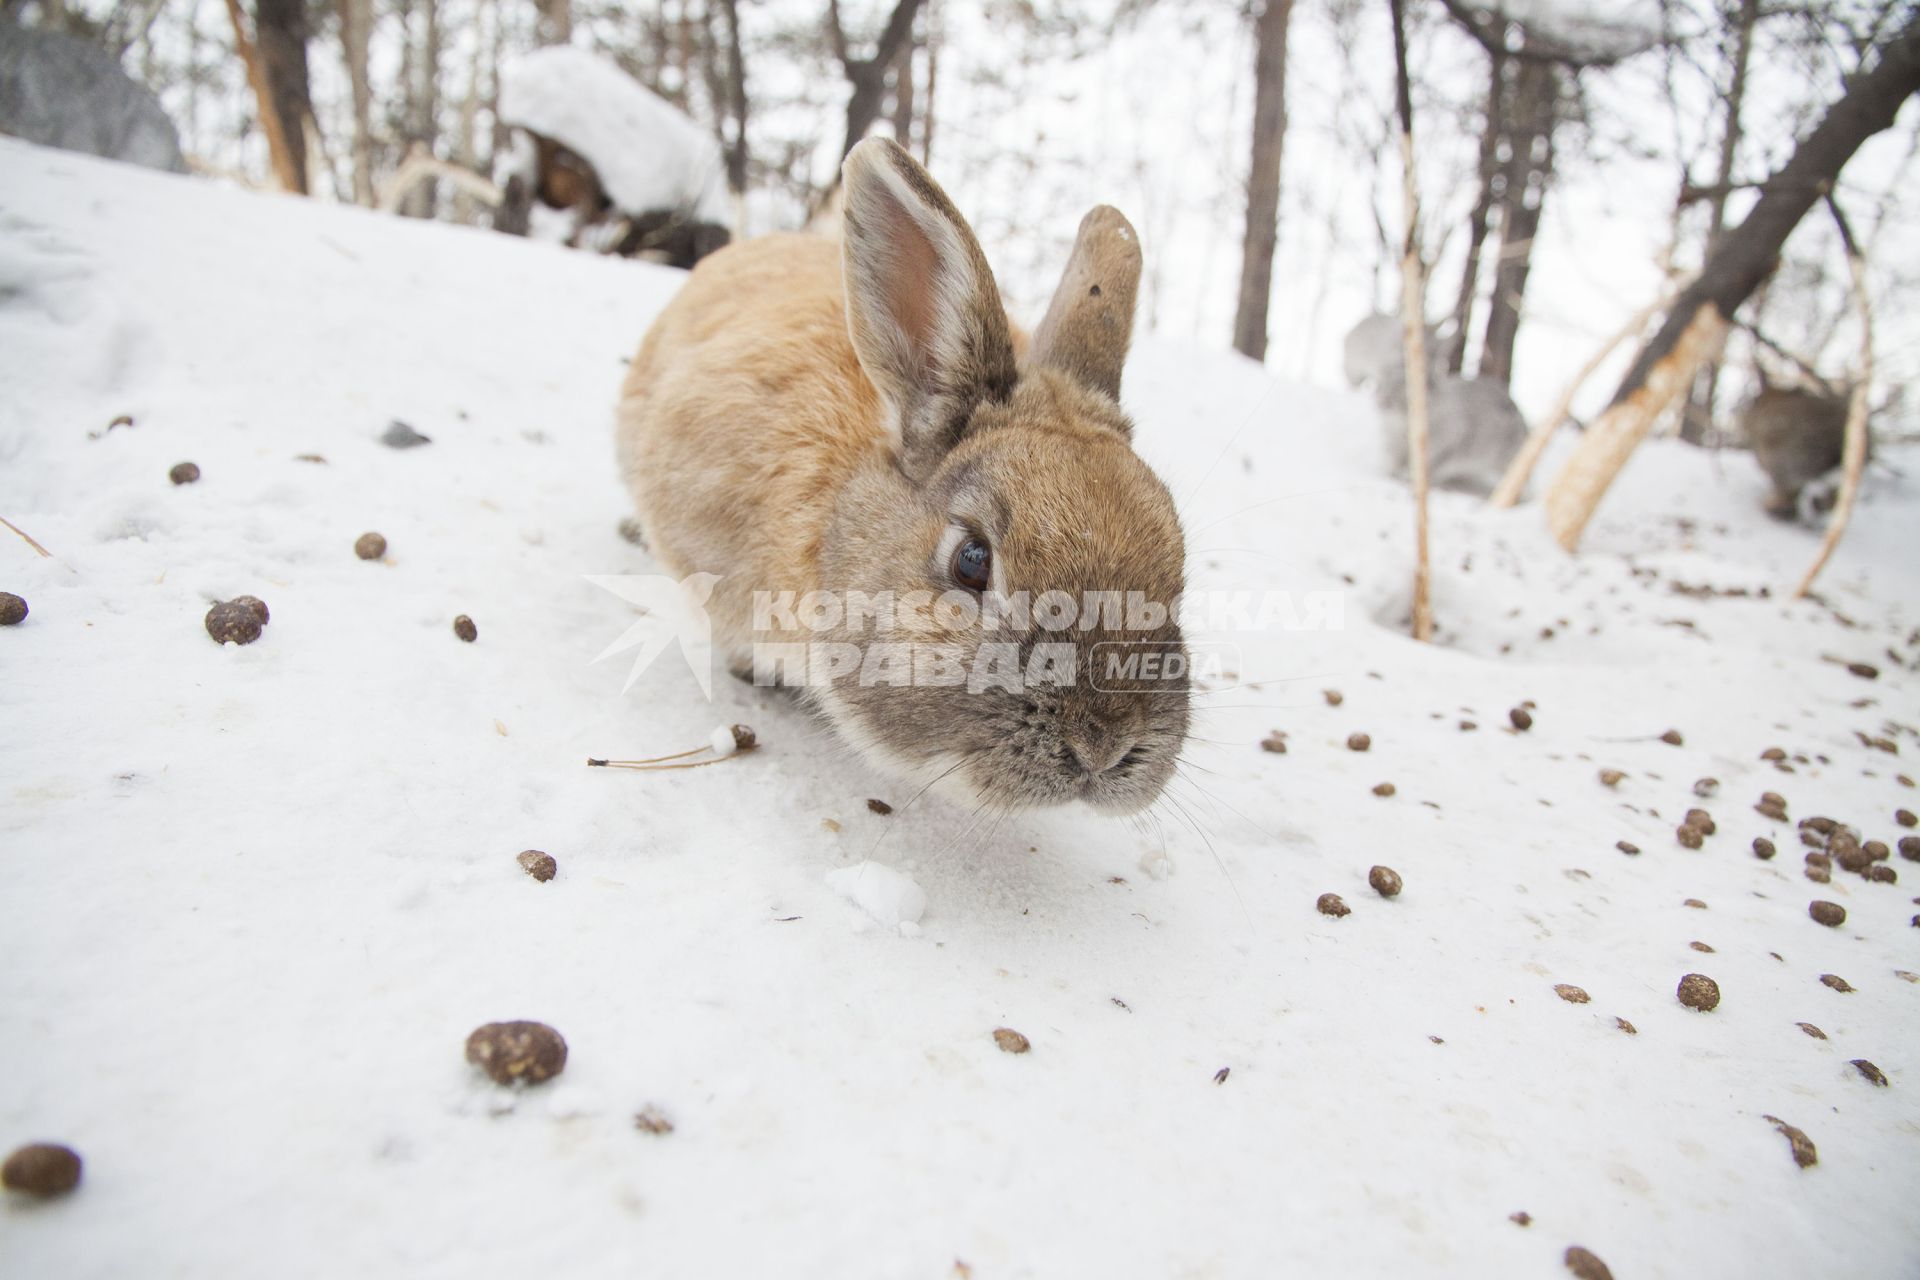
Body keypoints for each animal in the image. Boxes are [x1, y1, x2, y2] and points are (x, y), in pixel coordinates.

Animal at [1344, 314, 1520, 498]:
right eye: (1384, 384)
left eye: (1409, 392)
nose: (1382, 402)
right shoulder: (1393, 442)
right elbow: (1392, 463)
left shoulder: (1444, 447)